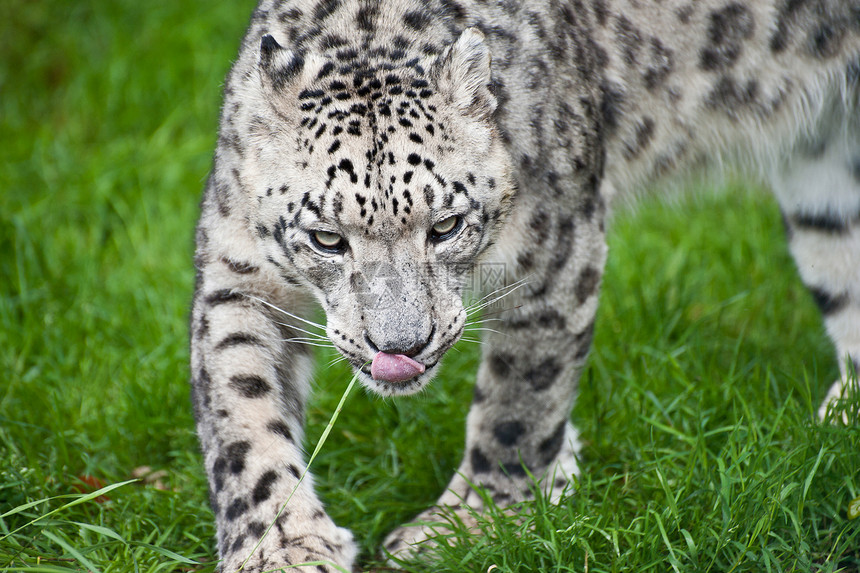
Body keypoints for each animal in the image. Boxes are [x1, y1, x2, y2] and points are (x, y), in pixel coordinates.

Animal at [190, 1, 860, 568]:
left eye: (447, 226)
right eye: (327, 238)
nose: (400, 348)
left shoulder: (555, 251)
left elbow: (521, 399)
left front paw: (469, 524)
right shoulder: (238, 276)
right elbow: (242, 412)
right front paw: (282, 548)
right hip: (826, 176)